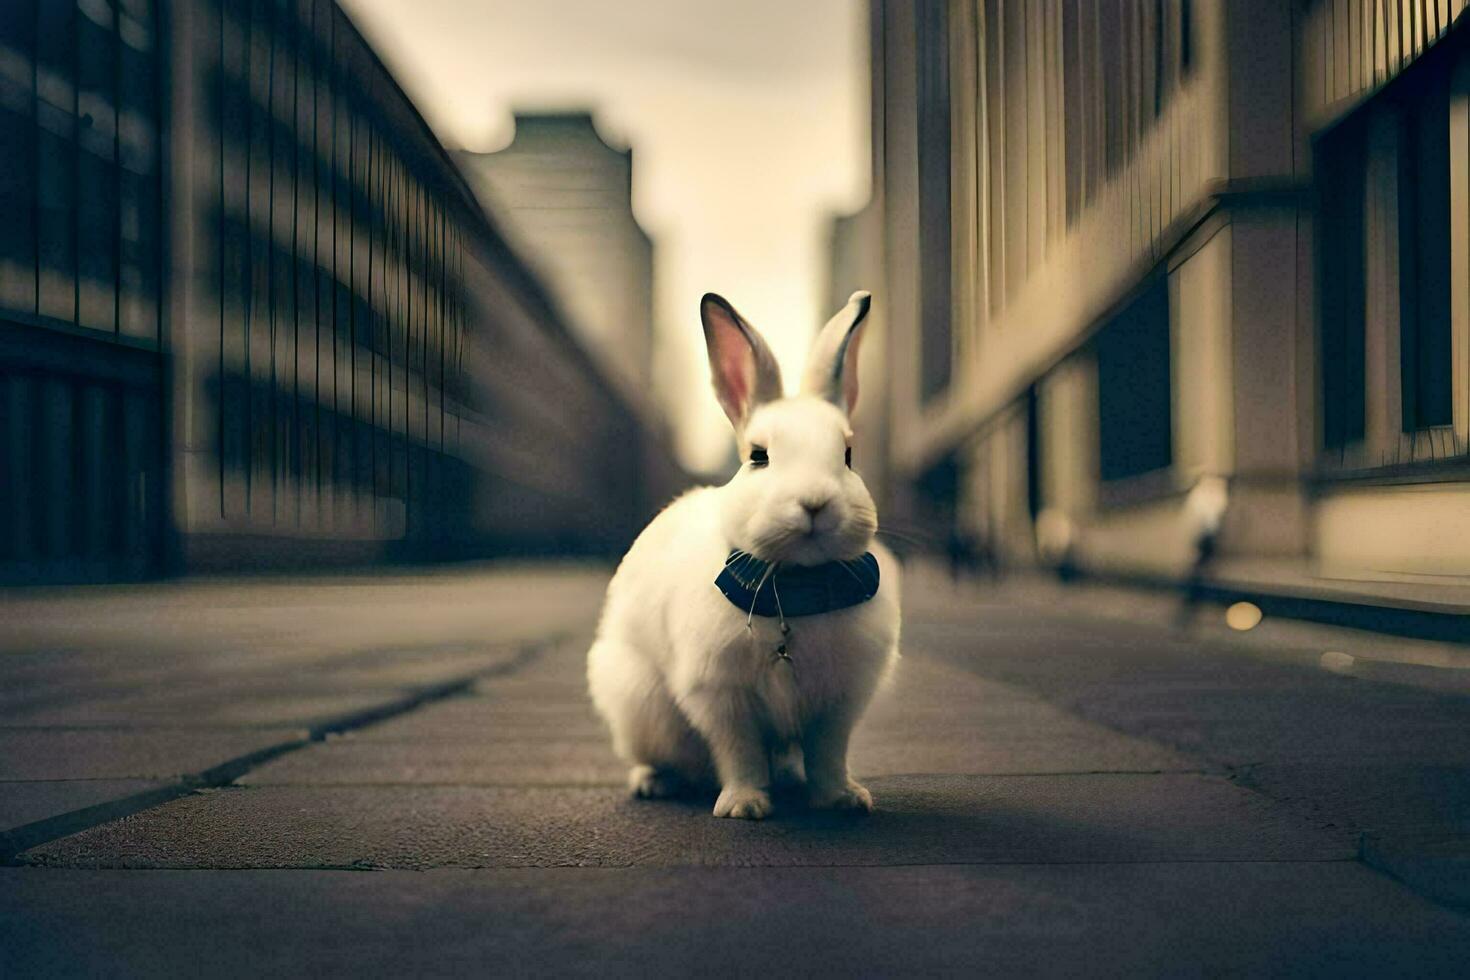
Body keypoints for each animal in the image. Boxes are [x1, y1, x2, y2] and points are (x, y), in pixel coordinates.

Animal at [585, 289, 893, 822]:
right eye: (758, 456)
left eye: (849, 456)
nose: (815, 503)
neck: (794, 589)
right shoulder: (721, 696)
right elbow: (739, 752)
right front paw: (745, 807)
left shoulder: (837, 703)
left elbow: (828, 753)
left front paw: (843, 799)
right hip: (639, 707)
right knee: (657, 756)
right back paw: (653, 783)